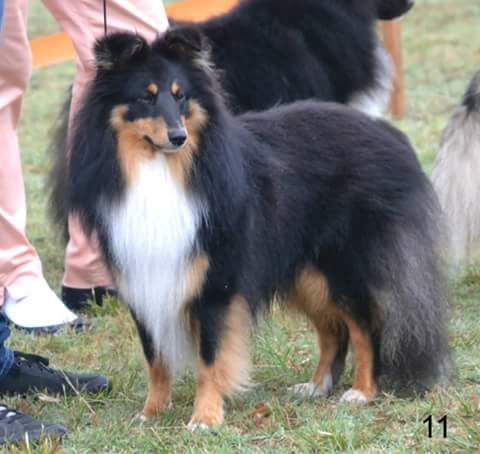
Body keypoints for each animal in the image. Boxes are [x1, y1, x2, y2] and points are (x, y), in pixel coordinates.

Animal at [54, 31, 452, 430]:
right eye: (145, 97)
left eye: (180, 95)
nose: (179, 137)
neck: (162, 170)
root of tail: (391, 134)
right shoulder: (143, 279)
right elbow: (155, 357)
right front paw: (151, 413)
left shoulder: (215, 282)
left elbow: (210, 356)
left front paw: (205, 418)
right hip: (306, 272)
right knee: (332, 329)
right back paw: (316, 386)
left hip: (341, 266)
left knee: (364, 324)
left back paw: (362, 392)